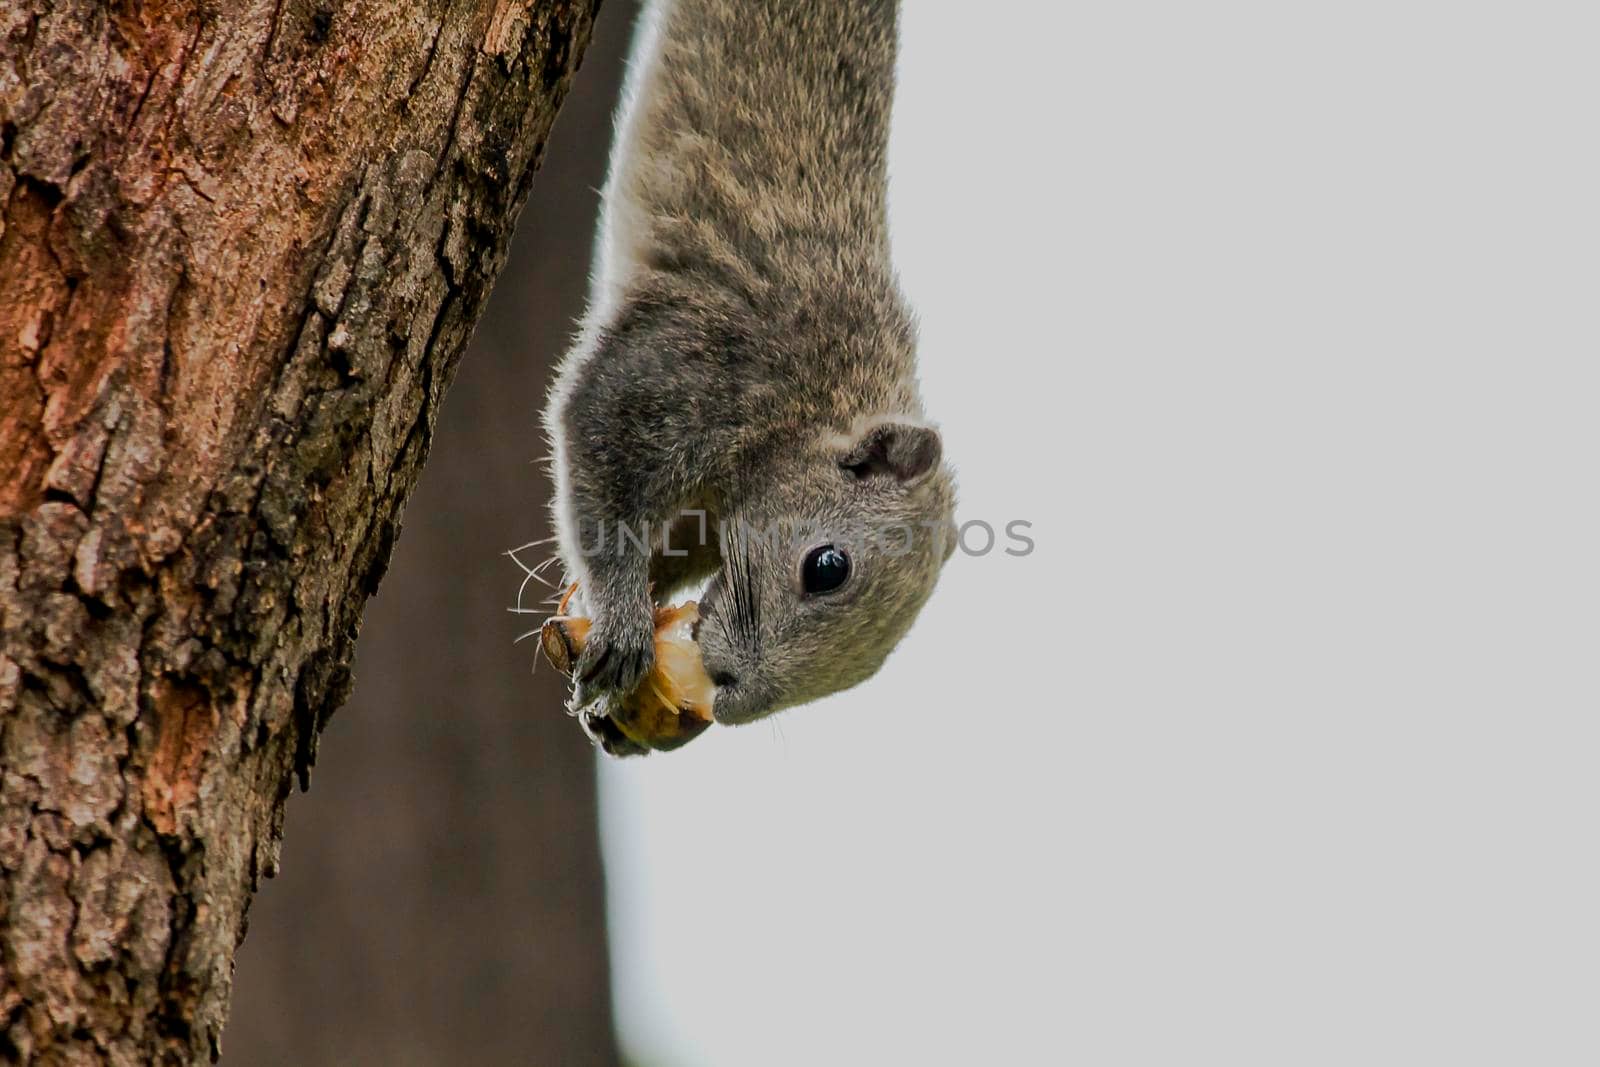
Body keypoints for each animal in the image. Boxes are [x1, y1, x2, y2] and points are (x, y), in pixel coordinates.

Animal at [544, 0, 953, 751]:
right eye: (827, 567)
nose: (731, 692)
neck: (815, 410)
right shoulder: (701, 366)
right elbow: (596, 441)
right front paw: (619, 624)